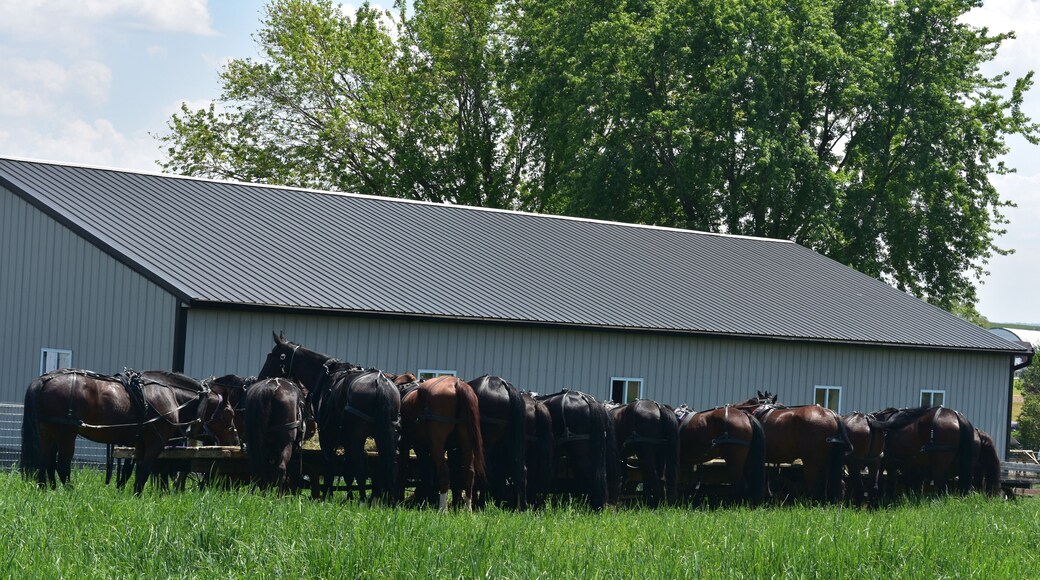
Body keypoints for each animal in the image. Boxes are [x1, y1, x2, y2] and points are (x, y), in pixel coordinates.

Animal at [20, 368, 226, 495]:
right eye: (227, 412)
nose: (228, 436)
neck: (170, 395)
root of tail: (43, 380)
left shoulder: (140, 445)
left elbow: (133, 472)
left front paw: (132, 494)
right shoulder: (155, 443)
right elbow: (144, 471)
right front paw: (137, 496)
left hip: (47, 433)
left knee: (44, 463)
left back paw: (46, 491)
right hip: (66, 434)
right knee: (61, 466)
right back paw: (71, 493)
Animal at [257, 333, 400, 504]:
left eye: (271, 355)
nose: (260, 378)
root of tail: (380, 384)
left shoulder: (327, 435)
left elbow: (330, 466)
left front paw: (328, 494)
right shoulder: (345, 438)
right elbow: (347, 471)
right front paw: (348, 496)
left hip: (358, 436)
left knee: (360, 467)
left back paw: (363, 500)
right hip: (383, 434)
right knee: (386, 465)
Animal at [392, 373, 486, 511]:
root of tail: (457, 384)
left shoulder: (407, 446)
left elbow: (403, 472)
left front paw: (400, 500)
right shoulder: (423, 448)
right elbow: (426, 470)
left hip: (437, 446)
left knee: (444, 472)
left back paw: (442, 509)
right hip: (466, 443)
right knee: (469, 472)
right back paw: (467, 509)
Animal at [466, 375, 527, 509]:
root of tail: (504, 384)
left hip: (487, 444)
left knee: (487, 470)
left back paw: (482, 503)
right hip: (510, 442)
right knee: (519, 469)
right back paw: (519, 507)